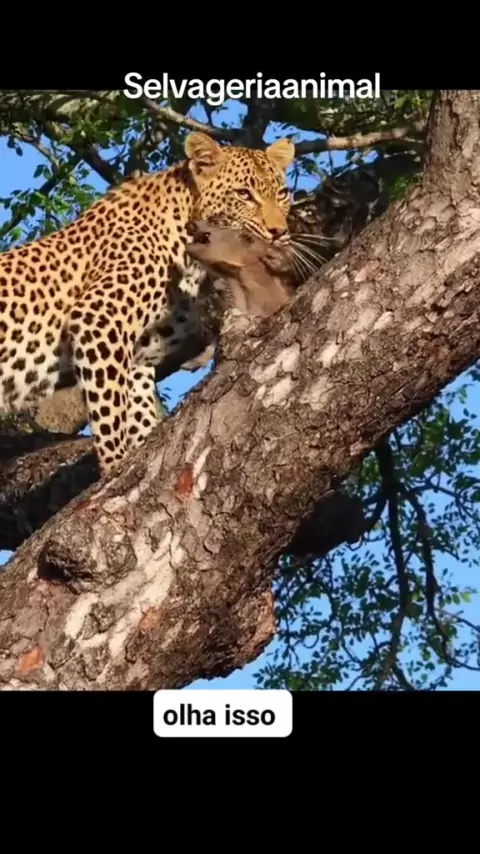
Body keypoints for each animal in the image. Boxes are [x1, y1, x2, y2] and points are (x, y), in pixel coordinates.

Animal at [0, 131, 295, 476]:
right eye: (244, 194)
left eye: (283, 193)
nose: (279, 233)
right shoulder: (98, 318)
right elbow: (110, 410)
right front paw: (114, 466)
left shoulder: (141, 348)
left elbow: (137, 408)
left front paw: (140, 449)